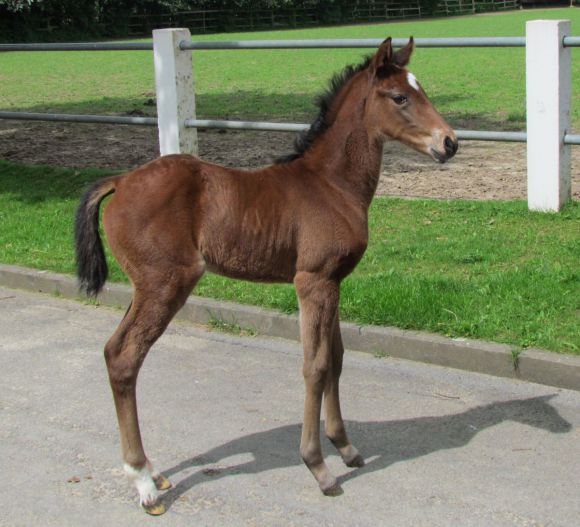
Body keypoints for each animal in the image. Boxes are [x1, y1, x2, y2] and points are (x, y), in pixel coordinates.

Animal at [76, 38, 458, 516]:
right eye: (400, 97)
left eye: (419, 89)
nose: (450, 142)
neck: (331, 185)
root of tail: (120, 180)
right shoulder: (312, 281)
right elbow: (314, 365)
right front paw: (318, 467)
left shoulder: (333, 281)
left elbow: (336, 358)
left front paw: (346, 448)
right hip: (166, 284)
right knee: (124, 356)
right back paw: (143, 483)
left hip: (144, 286)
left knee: (114, 350)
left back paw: (155, 473)